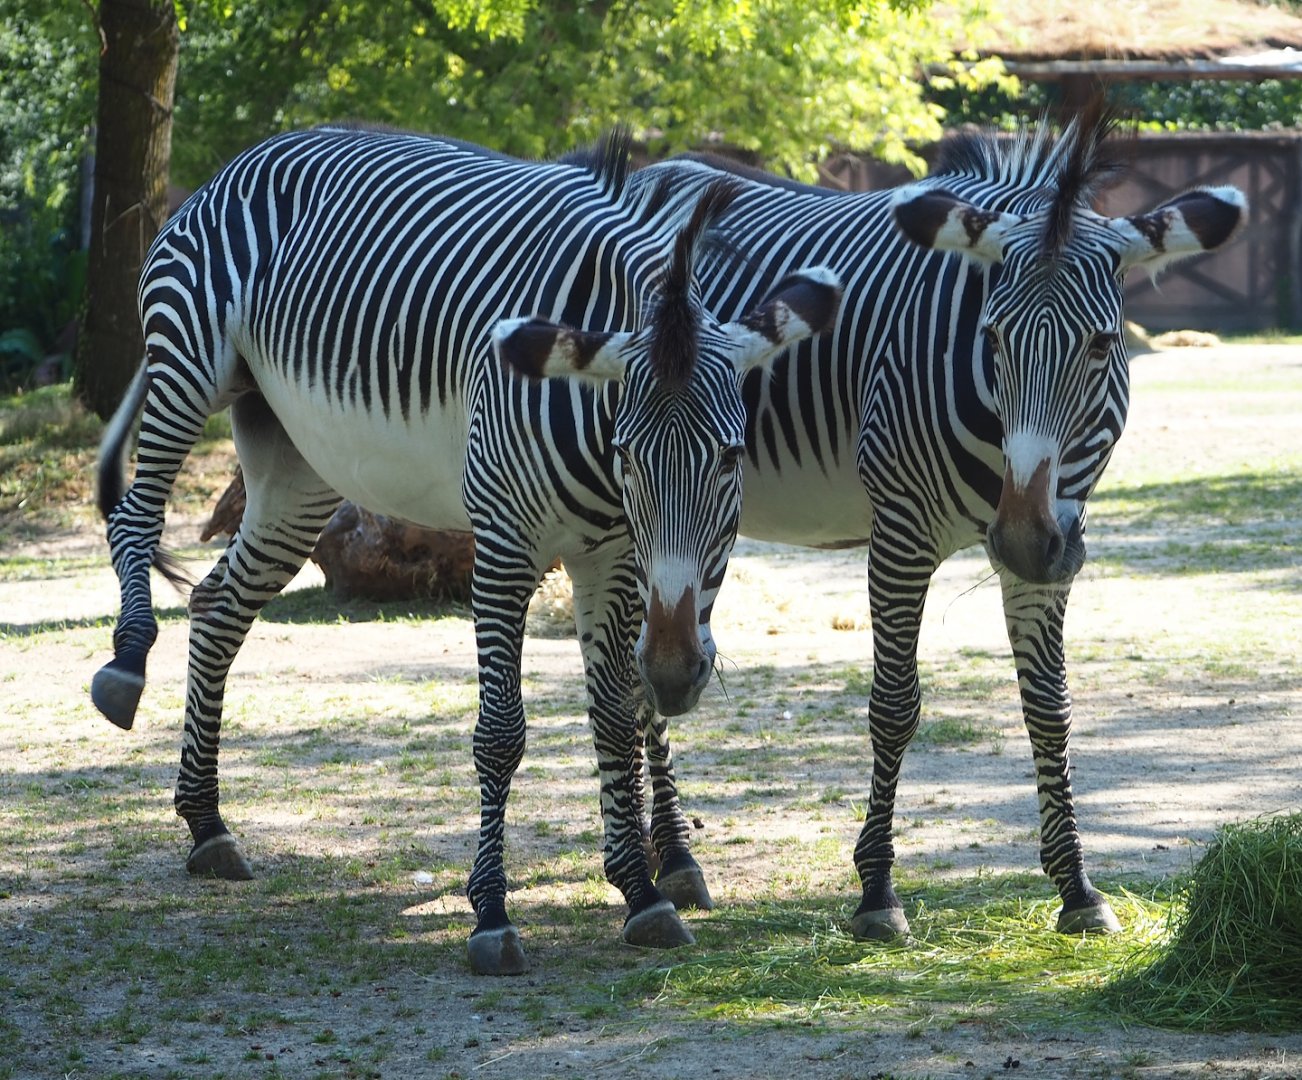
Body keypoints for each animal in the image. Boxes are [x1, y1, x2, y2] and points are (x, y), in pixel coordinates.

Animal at [90, 125, 841, 974]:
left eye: (731, 456)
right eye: (627, 455)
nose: (680, 670)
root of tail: (251, 155)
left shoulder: (614, 560)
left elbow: (616, 716)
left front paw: (642, 893)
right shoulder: (507, 547)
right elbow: (501, 733)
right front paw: (491, 913)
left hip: (296, 464)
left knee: (218, 604)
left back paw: (207, 823)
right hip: (186, 367)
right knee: (134, 517)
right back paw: (125, 666)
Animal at [626, 101, 1245, 938]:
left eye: (1102, 344)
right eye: (992, 337)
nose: (1021, 539)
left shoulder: (1057, 542)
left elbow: (1049, 706)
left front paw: (1077, 887)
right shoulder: (900, 535)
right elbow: (895, 707)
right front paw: (877, 892)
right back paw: (674, 862)